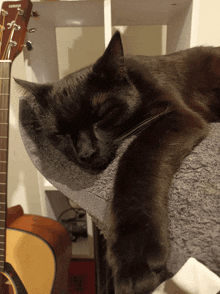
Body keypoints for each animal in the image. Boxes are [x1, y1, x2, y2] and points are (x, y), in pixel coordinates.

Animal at [15, 31, 220, 292]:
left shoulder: (175, 116)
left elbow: (136, 162)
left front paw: (133, 258)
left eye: (103, 114)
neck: (135, 81)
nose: (85, 153)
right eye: (60, 133)